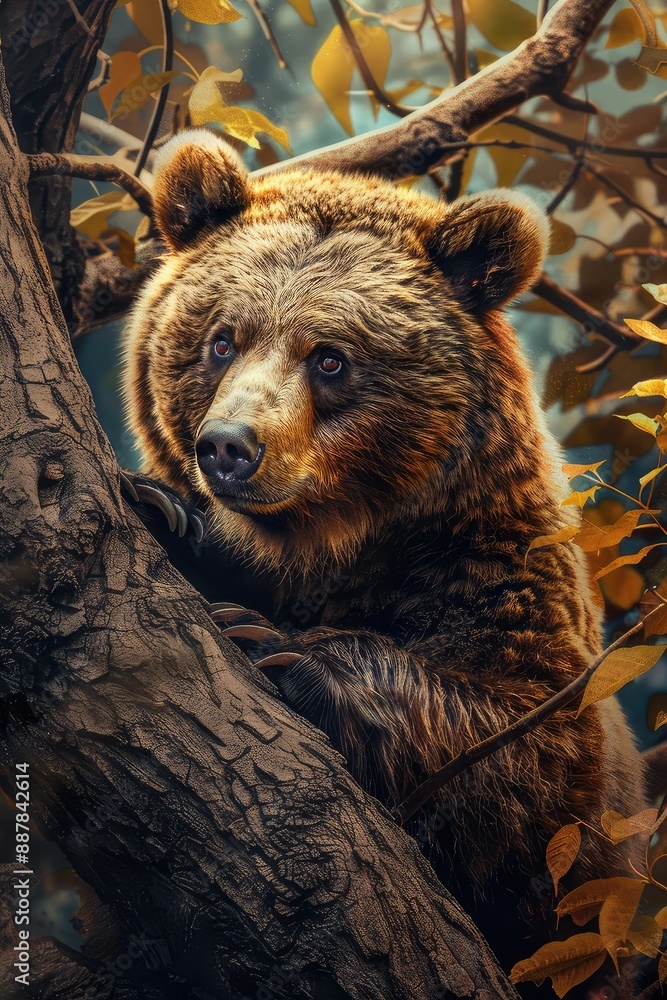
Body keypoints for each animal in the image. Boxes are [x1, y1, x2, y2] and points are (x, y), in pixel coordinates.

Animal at [122, 129, 645, 993]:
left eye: (330, 358)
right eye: (221, 338)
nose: (228, 447)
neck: (334, 541)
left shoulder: (492, 577)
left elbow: (536, 767)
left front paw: (280, 650)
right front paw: (166, 514)